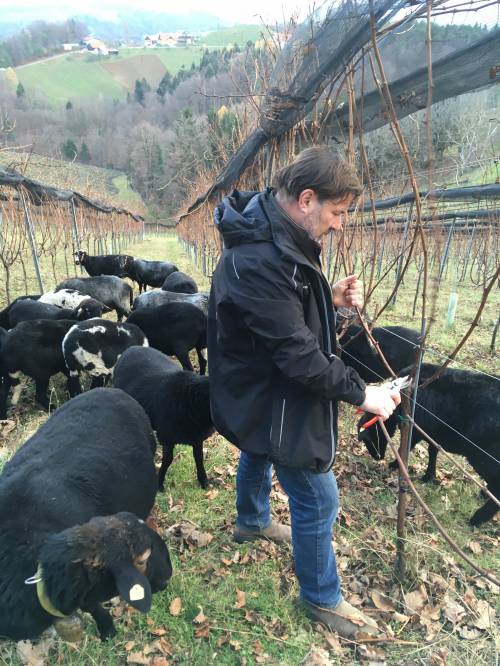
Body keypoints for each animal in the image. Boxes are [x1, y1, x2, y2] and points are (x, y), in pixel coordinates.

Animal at [114, 344, 214, 490]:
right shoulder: (166, 438)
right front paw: (159, 484)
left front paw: (204, 482)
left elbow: (199, 459)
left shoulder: (197, 438)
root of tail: (132, 348)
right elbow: (168, 460)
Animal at [358, 364, 500, 524]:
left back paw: (478, 518)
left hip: (484, 457)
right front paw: (429, 475)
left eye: (369, 438)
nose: (378, 457)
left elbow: (406, 447)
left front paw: (395, 464)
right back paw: (484, 495)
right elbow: (433, 451)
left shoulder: (415, 430)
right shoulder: (433, 434)